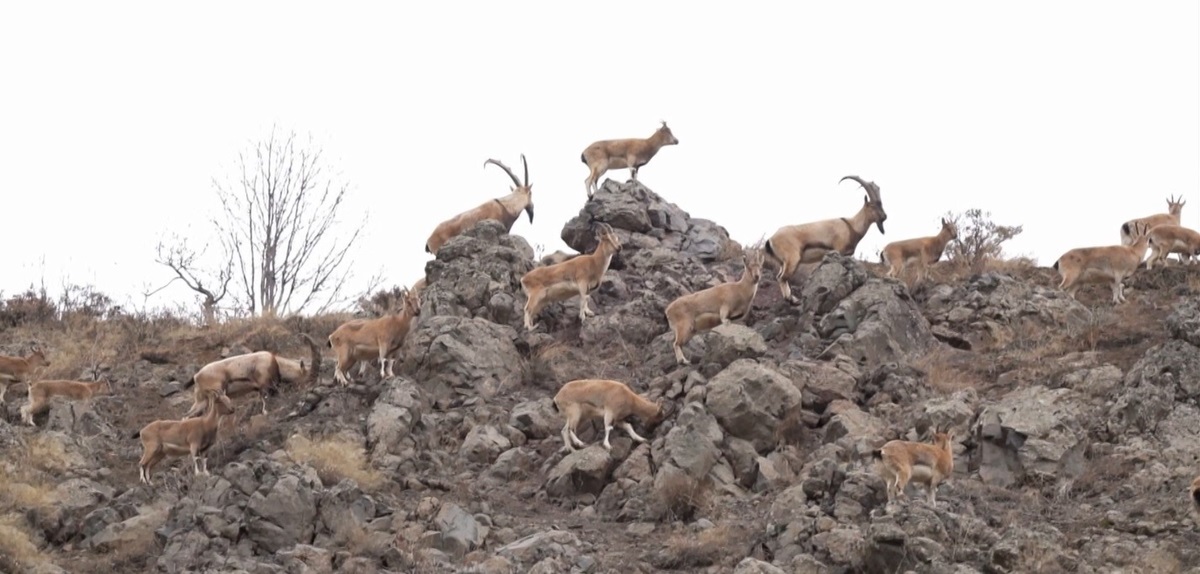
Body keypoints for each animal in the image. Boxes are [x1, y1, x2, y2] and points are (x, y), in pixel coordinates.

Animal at [763, 176, 888, 305]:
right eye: (872, 205)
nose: (884, 216)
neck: (851, 226)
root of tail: (770, 240)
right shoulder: (839, 249)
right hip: (792, 259)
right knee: (781, 278)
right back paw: (792, 300)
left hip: (783, 263)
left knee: (780, 276)